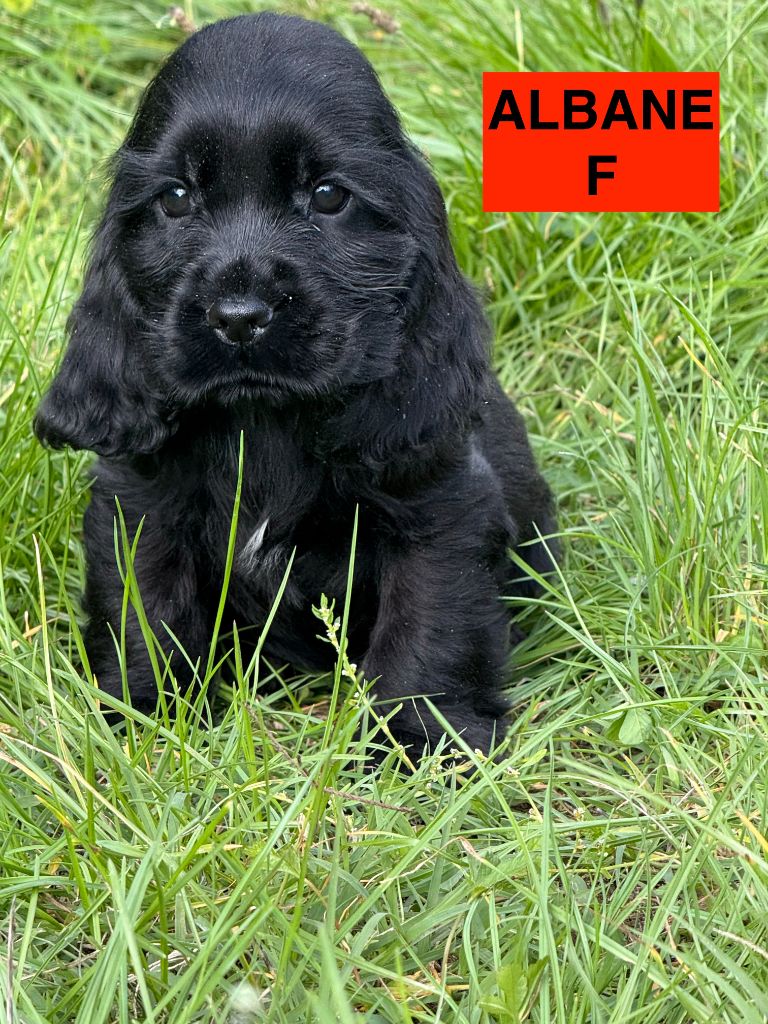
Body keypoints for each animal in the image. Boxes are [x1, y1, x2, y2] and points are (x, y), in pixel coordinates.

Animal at [34, 13, 557, 757]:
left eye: (329, 196)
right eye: (176, 198)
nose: (239, 316)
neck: (264, 419)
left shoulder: (440, 507)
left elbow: (429, 629)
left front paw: (417, 741)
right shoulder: (140, 506)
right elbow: (146, 612)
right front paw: (145, 720)